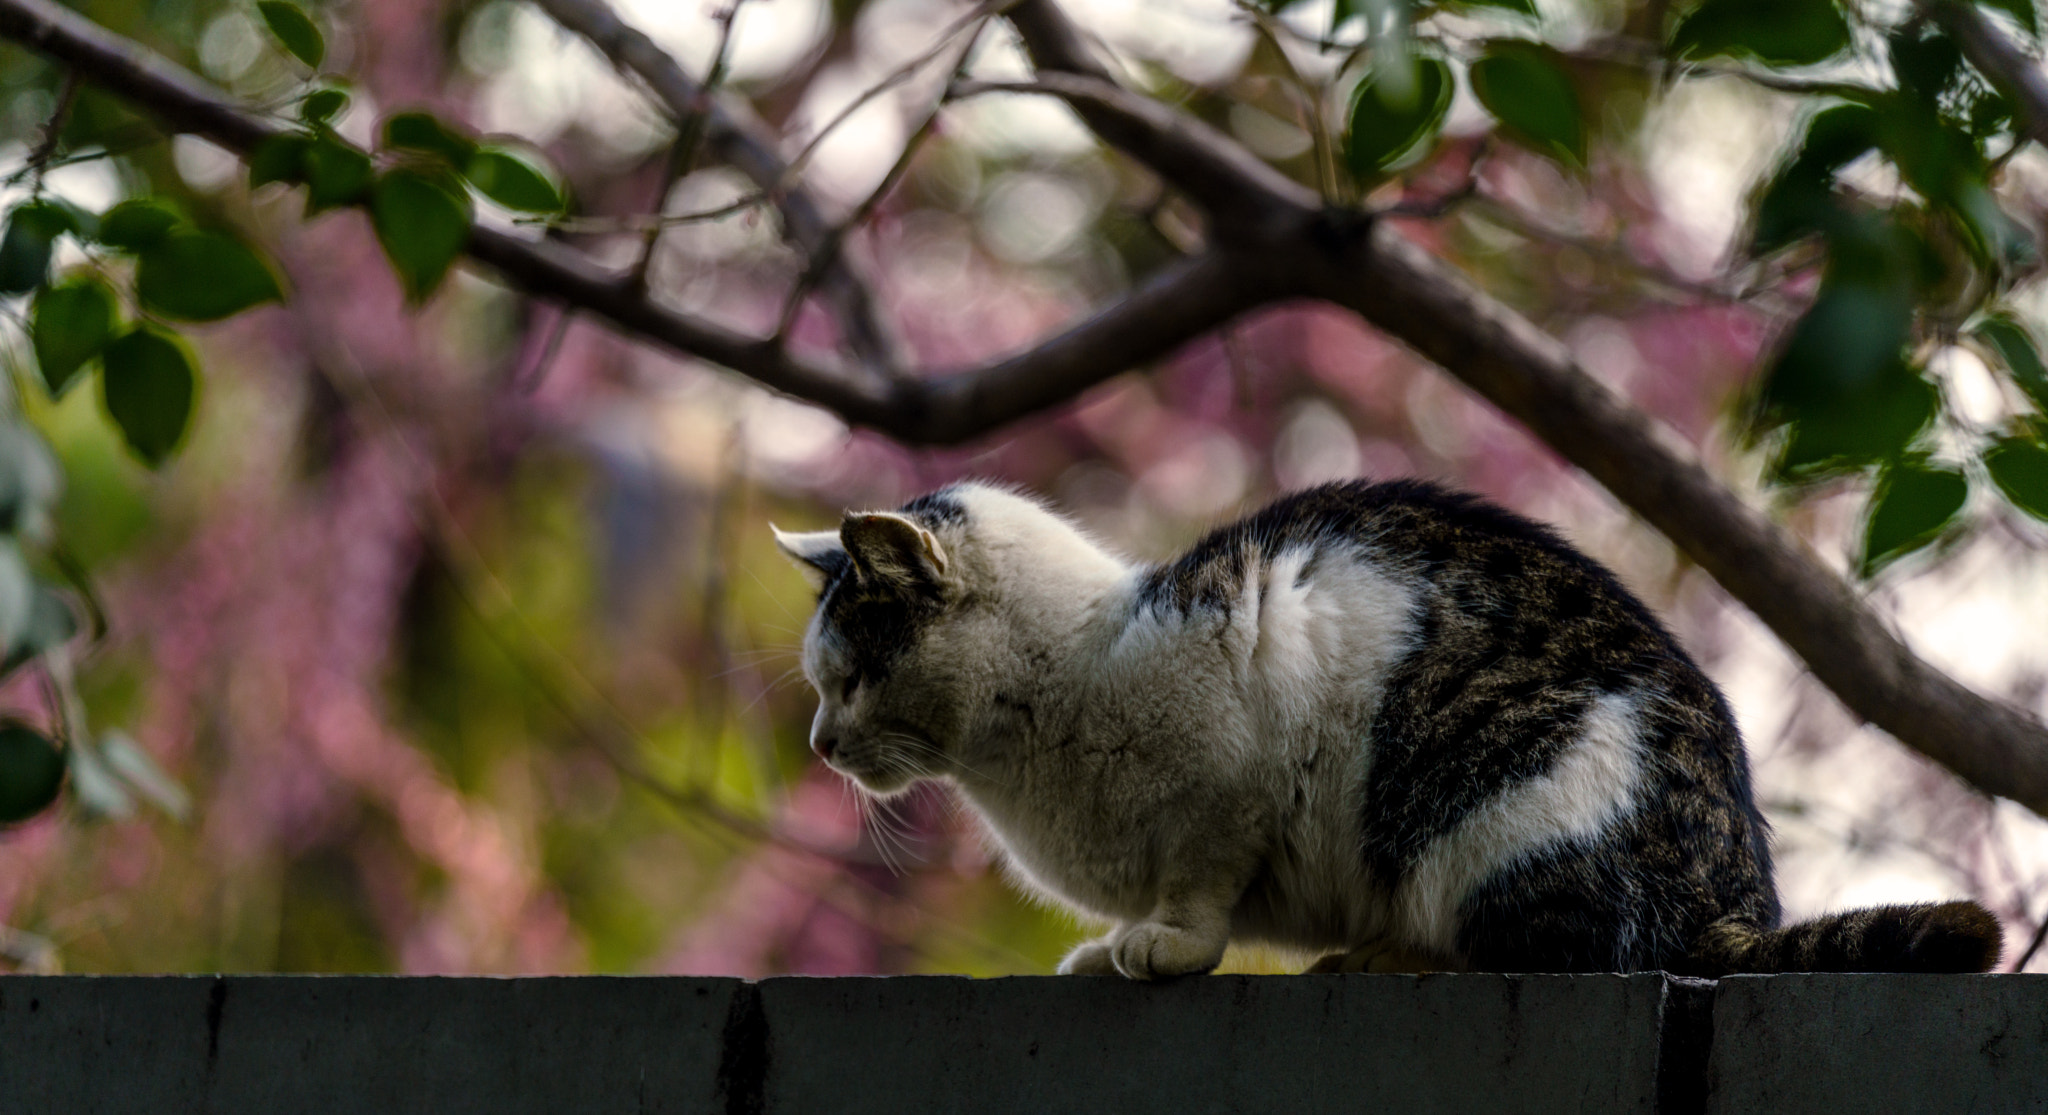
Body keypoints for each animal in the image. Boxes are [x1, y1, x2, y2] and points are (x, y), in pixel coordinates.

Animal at [770, 479, 1998, 975]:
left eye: (849, 678)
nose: (821, 745)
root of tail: (1731, 903)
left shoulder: (1232, 783)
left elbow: (1199, 892)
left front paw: (1161, 943)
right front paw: (1104, 948)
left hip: (1497, 807)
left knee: (1556, 950)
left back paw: (1387, 952)